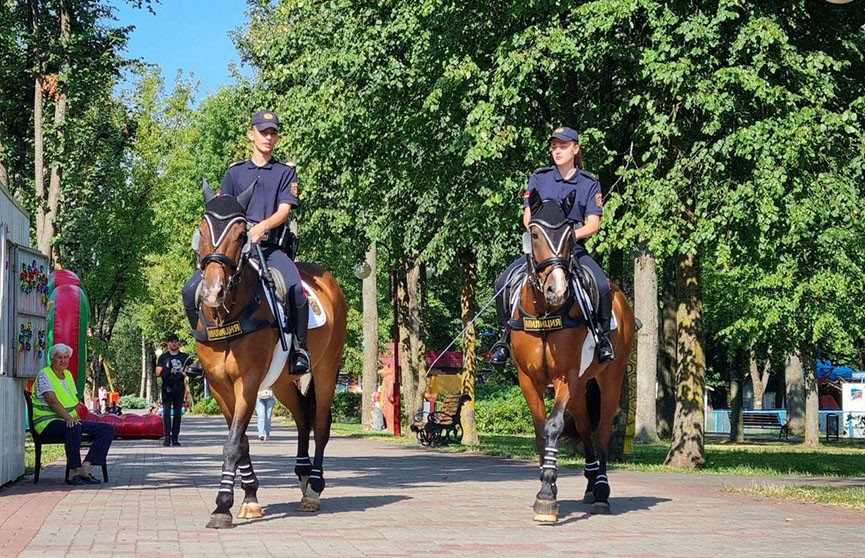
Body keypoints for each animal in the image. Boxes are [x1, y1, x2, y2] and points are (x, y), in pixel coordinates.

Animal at [194, 183, 346, 528]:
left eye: (241, 234)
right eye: (202, 231)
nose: (212, 291)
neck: (231, 313)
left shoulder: (248, 382)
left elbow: (233, 443)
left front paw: (223, 505)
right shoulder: (220, 386)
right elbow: (241, 441)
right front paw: (249, 497)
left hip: (327, 369)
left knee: (320, 421)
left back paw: (314, 486)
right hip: (281, 381)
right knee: (303, 415)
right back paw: (302, 474)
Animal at [512, 191, 636, 524]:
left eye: (570, 235)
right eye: (535, 234)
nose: (556, 289)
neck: (545, 313)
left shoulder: (565, 376)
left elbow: (554, 426)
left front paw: (546, 495)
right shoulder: (528, 378)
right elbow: (541, 432)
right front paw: (547, 484)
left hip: (609, 379)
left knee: (602, 430)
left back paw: (602, 491)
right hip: (582, 388)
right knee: (584, 427)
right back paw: (591, 484)